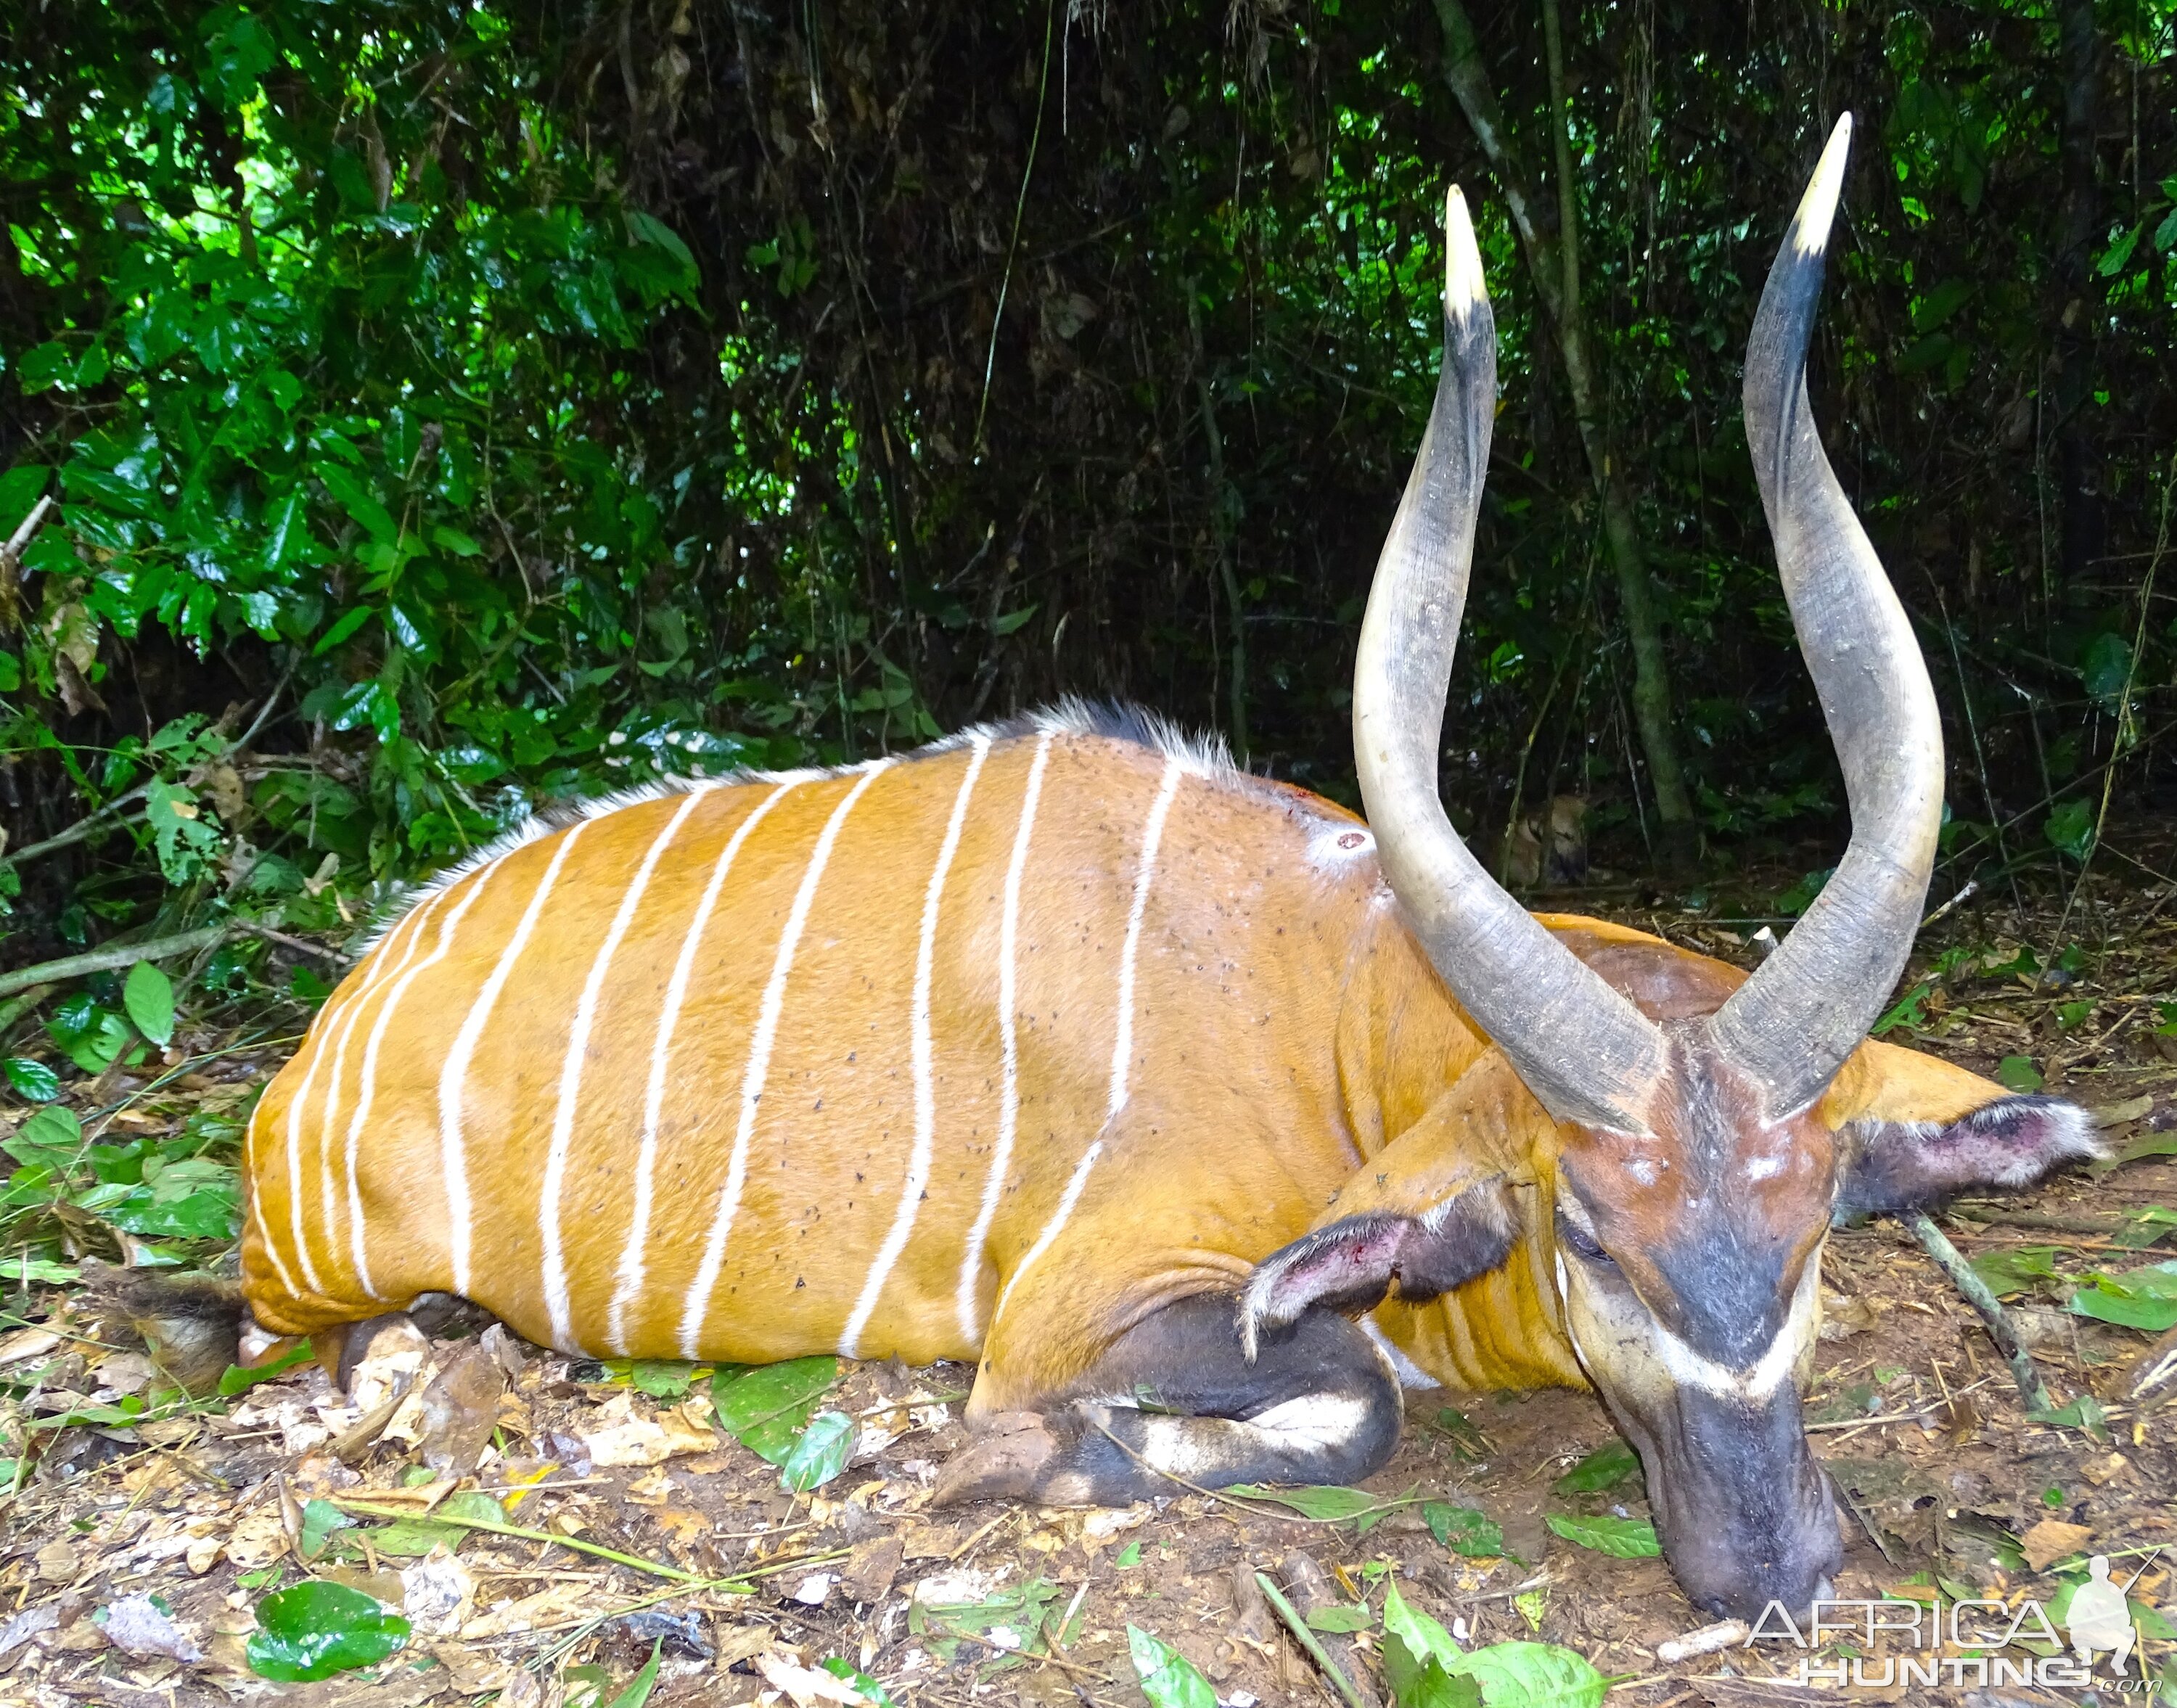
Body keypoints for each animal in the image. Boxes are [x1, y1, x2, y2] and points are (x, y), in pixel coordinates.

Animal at [216, 123, 2090, 1627]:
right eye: (1589, 1234)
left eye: (1813, 1227)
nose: (1773, 1572)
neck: (1341, 1003)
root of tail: (326, 1028)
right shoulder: (1073, 1309)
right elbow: (1335, 1392)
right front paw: (1027, 1461)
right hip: (310, 1294)